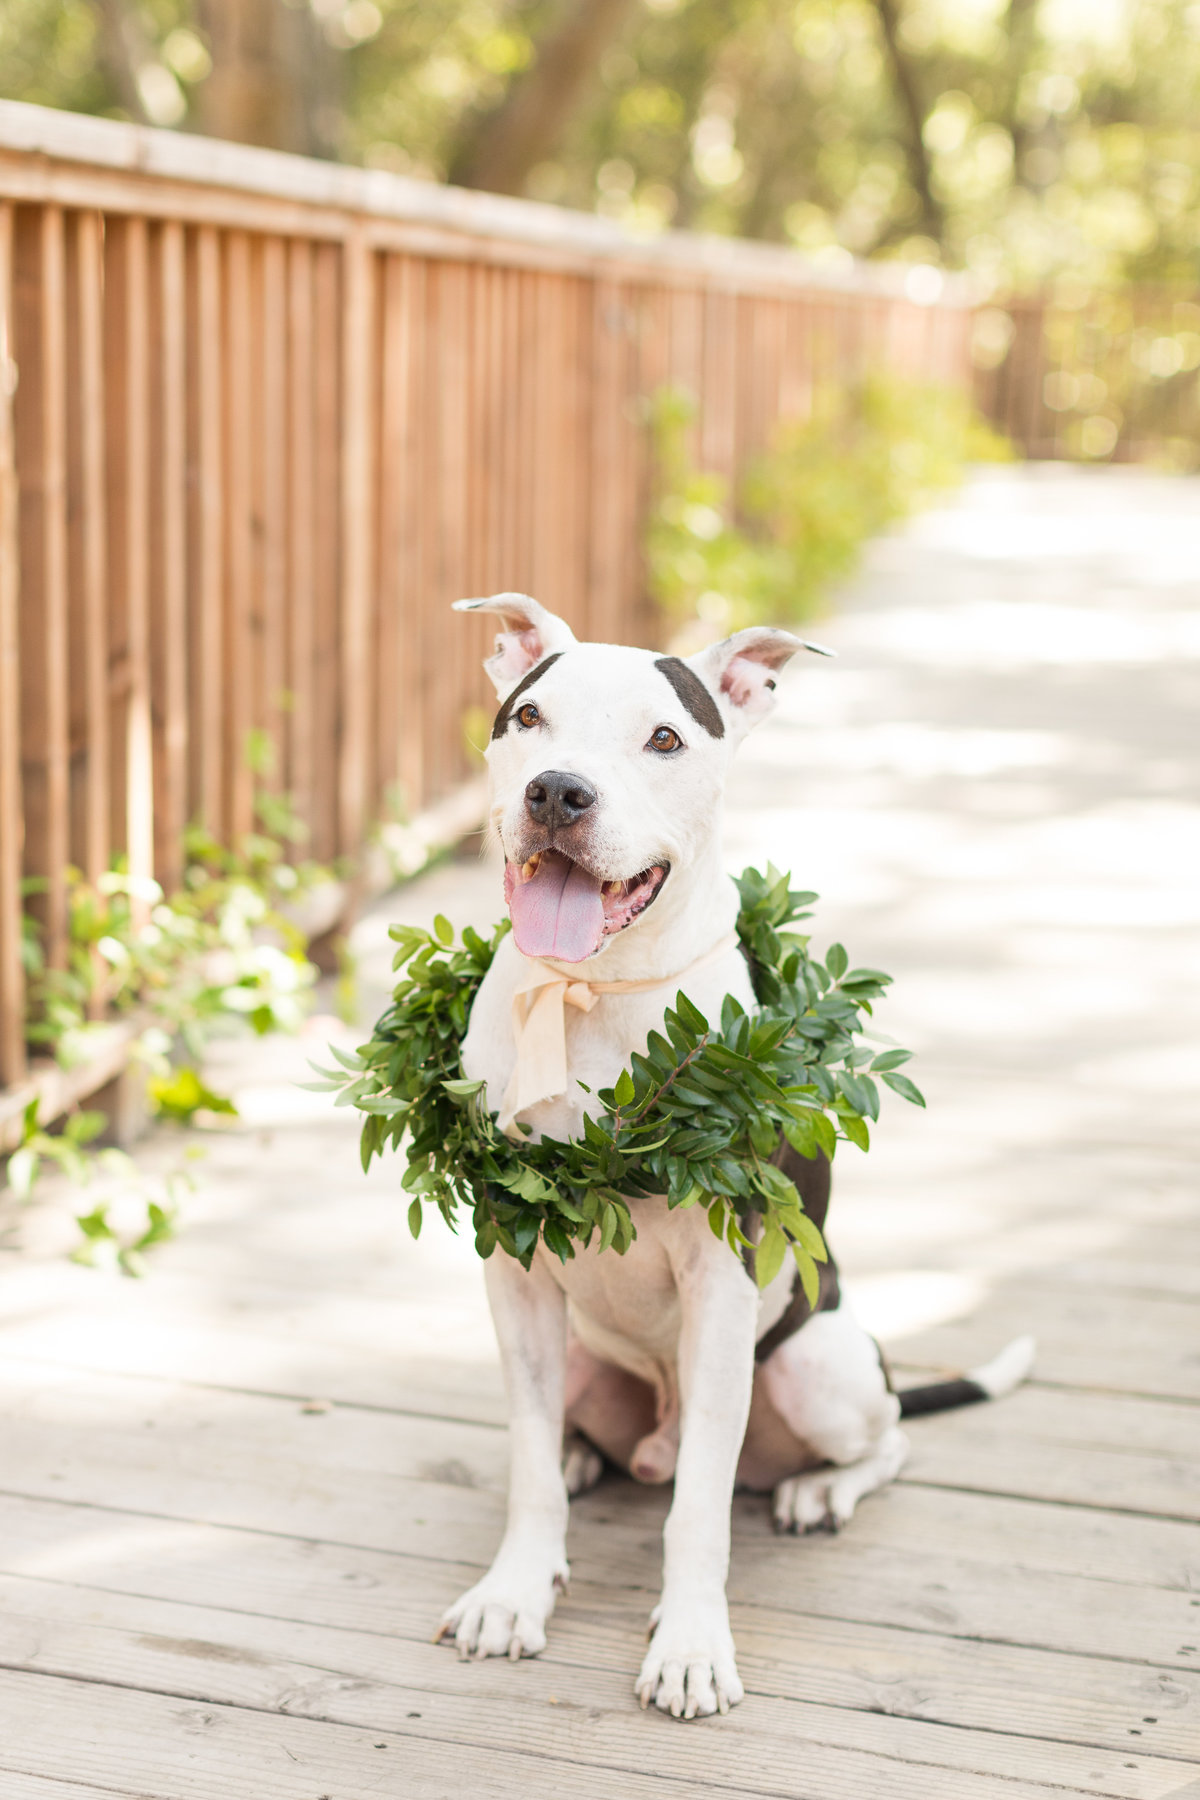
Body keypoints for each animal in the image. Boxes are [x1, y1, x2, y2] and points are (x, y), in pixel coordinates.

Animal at [437, 590, 1036, 1713]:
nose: (557, 793)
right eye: (528, 719)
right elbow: (529, 1464)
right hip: (582, 1359)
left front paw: (689, 1644)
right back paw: (587, 1461)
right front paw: (515, 1592)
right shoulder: (517, 1281)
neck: (594, 990)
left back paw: (817, 1490)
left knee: (886, 1439)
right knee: (574, 1438)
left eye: (665, 739)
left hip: (818, 1364)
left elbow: (702, 1509)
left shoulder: (721, 1291)